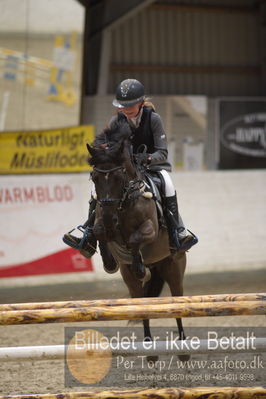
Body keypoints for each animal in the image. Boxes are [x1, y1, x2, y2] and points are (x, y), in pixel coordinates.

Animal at [86, 121, 188, 356]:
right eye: (95, 178)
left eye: (118, 176)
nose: (109, 217)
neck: (124, 201)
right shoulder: (102, 221)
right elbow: (99, 232)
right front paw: (109, 262)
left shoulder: (150, 229)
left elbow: (134, 239)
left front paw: (140, 267)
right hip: (132, 284)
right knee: (143, 306)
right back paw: (149, 350)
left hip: (174, 269)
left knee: (178, 304)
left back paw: (183, 348)